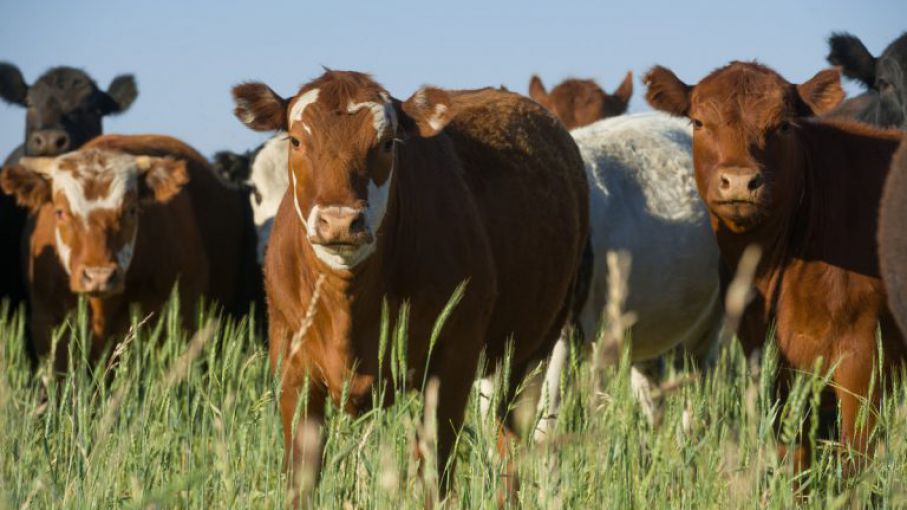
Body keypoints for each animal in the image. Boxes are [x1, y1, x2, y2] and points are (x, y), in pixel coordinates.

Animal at [234, 69, 588, 496]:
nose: (339, 221)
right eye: (297, 140)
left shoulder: (451, 363)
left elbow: (433, 475)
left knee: (511, 447)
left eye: (386, 143)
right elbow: (301, 479)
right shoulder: (293, 367)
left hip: (532, 352)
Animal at [644, 60, 907, 470]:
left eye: (783, 125)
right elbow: (794, 455)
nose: (739, 180)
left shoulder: (865, 359)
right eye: (699, 122)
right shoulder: (775, 360)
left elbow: (854, 461)